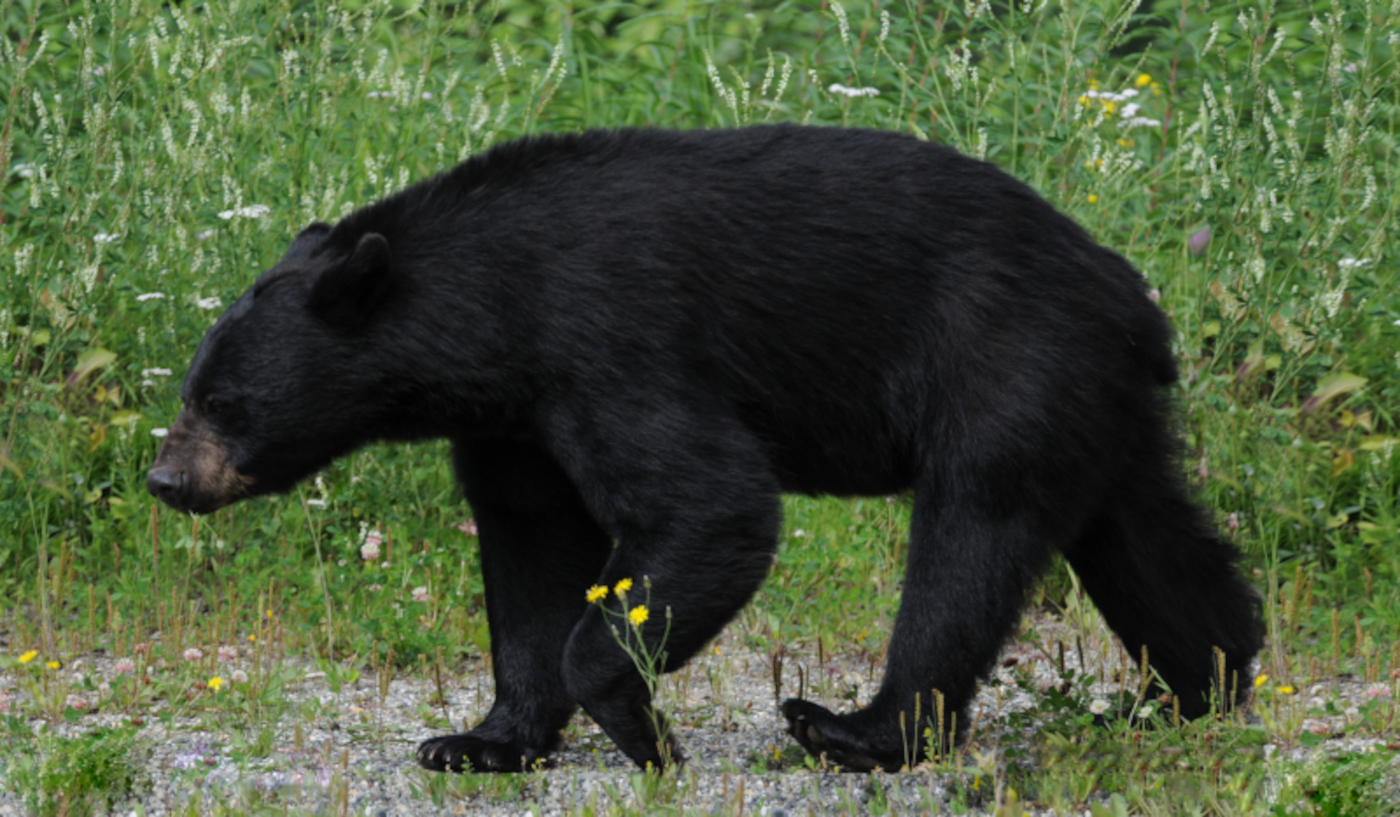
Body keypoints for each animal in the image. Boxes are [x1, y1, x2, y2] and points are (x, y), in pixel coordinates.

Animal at [147, 125, 1265, 772]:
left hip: (1004, 360)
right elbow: (528, 544)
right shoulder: (512, 415)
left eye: (222, 398)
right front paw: (480, 738)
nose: (166, 477)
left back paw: (855, 728)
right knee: (1144, 537)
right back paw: (1201, 684)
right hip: (1091, 404)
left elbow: (709, 505)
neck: (493, 306)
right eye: (191, 388)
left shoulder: (608, 339)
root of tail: (1134, 300)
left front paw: (638, 722)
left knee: (972, 535)